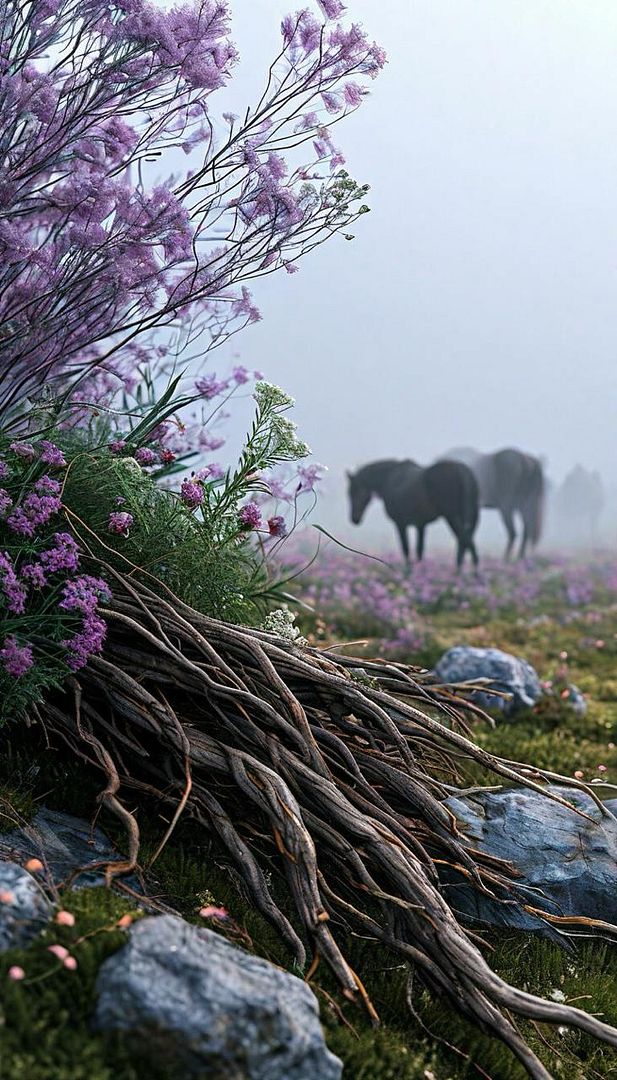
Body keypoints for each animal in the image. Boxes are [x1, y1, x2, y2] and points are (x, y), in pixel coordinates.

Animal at [345, 457, 479, 570]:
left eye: (355, 492)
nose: (354, 519)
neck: (391, 478)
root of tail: (462, 471)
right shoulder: (421, 525)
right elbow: (419, 551)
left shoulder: (400, 523)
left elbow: (406, 549)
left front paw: (408, 574)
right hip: (471, 517)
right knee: (465, 542)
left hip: (452, 517)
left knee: (466, 541)